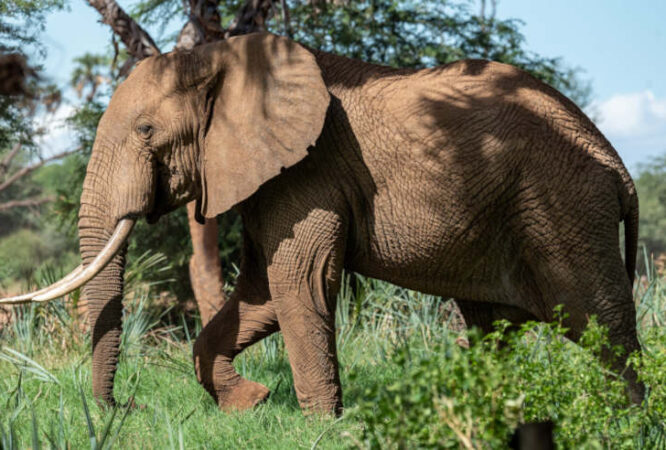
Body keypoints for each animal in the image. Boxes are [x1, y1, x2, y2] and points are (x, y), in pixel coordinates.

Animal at [1, 32, 642, 413]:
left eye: (145, 131)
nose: (123, 409)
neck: (223, 57)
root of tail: (617, 162)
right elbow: (261, 292)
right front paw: (251, 403)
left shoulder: (310, 170)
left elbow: (298, 281)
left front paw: (320, 426)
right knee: (495, 328)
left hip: (564, 205)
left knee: (603, 326)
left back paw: (626, 423)